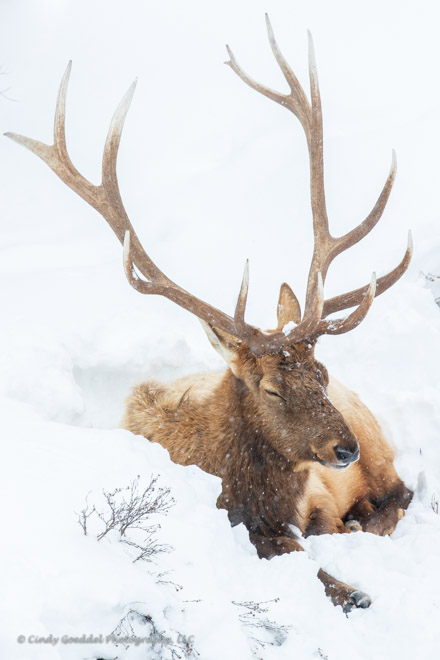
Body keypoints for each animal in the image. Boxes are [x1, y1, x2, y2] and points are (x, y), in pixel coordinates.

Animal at [6, 16, 412, 612]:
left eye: (322, 374)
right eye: (271, 388)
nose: (344, 449)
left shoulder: (312, 504)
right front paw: (348, 589)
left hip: (380, 449)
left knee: (401, 494)